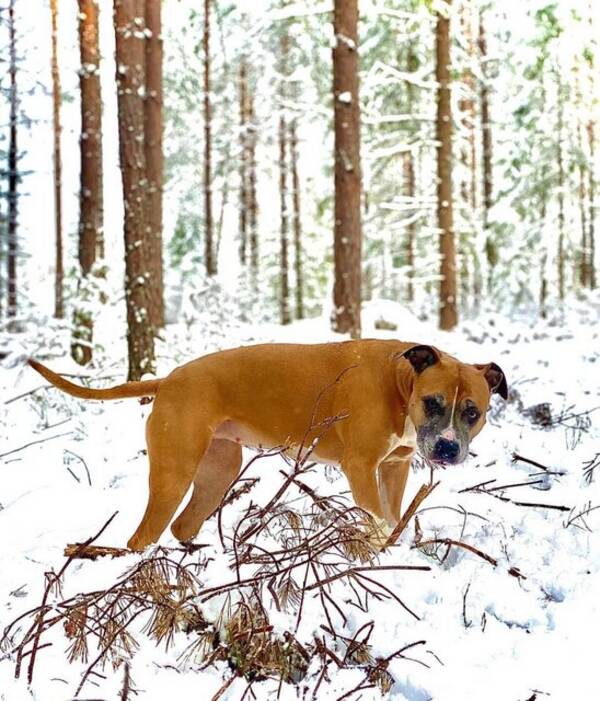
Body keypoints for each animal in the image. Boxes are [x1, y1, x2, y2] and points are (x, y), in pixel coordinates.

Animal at [28, 342, 506, 548]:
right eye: (433, 402)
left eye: (472, 412)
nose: (447, 449)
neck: (399, 381)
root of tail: (169, 380)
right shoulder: (361, 467)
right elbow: (375, 521)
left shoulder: (394, 468)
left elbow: (392, 517)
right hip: (173, 474)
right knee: (142, 536)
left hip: (217, 472)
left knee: (183, 526)